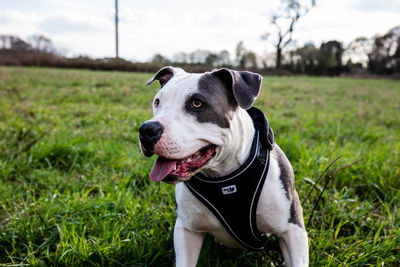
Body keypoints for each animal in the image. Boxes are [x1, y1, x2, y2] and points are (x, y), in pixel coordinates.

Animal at [138, 66, 310, 266]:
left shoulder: (292, 230)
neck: (223, 176)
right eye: (157, 102)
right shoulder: (187, 230)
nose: (147, 130)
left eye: (197, 103)